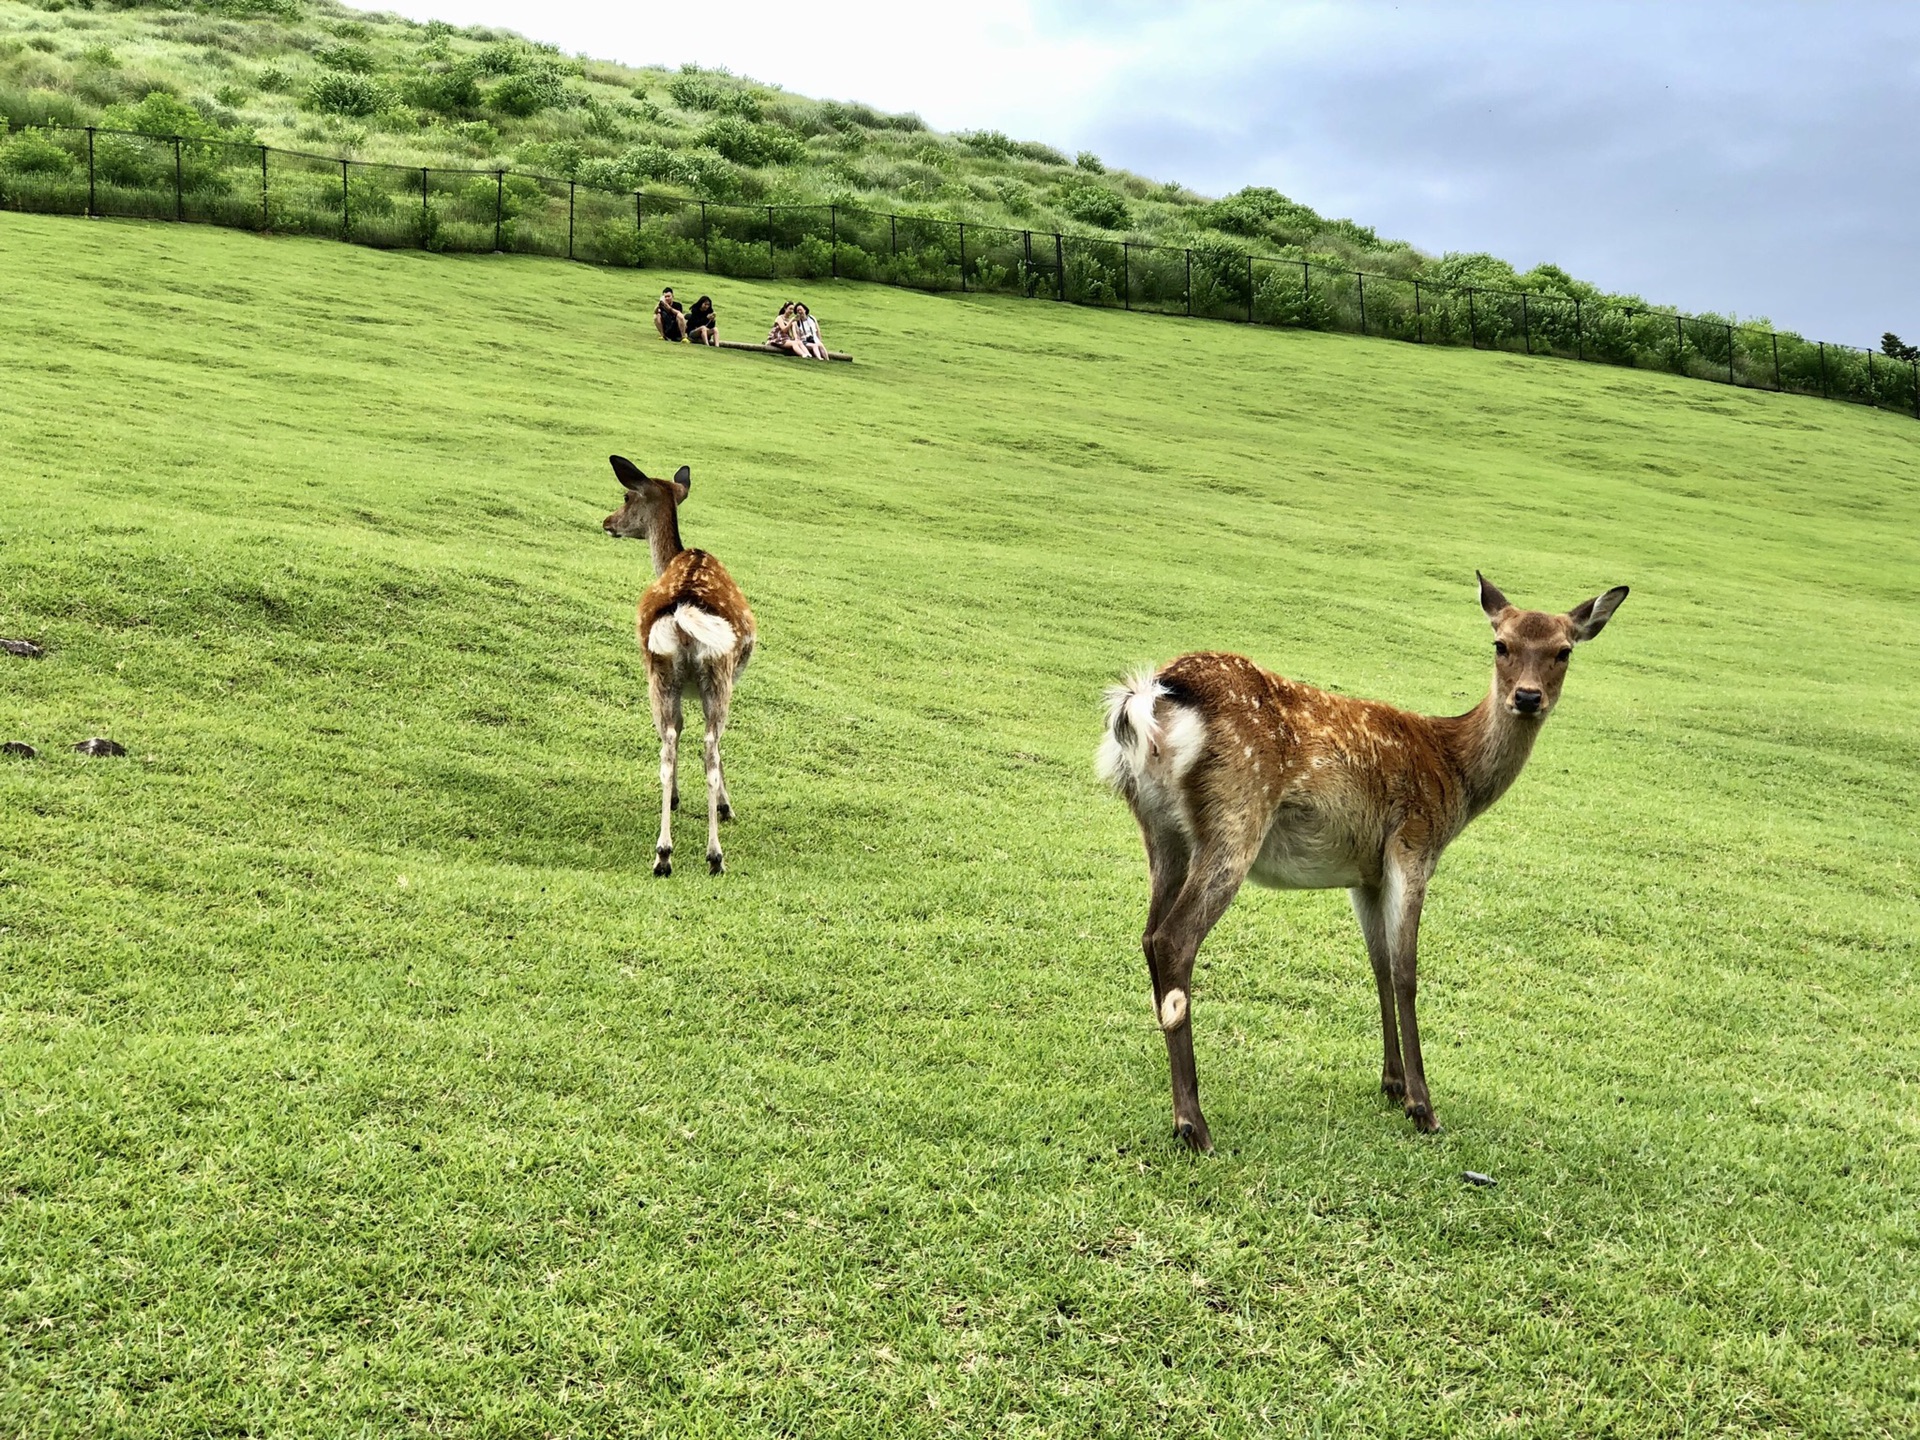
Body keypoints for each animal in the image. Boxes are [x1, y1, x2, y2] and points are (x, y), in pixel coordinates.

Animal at [599, 456, 756, 879]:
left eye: (626, 496)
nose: (607, 522)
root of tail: (683, 612)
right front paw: (715, 806)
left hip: (664, 671)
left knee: (673, 746)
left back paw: (673, 853)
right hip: (712, 676)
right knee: (705, 748)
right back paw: (701, 855)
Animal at [1105, 576, 1628, 1152]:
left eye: (1563, 650)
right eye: (1501, 644)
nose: (1528, 697)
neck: (1456, 775)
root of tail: (1150, 696)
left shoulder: (1366, 873)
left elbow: (1377, 964)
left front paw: (1393, 1084)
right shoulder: (1413, 844)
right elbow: (1406, 970)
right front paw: (1423, 1107)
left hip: (1161, 830)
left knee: (1148, 934)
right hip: (1235, 817)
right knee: (1174, 938)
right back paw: (1193, 1125)